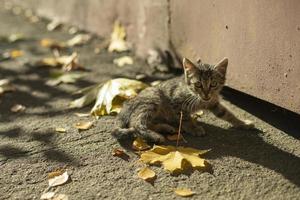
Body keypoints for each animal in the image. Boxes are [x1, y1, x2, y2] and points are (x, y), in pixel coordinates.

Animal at [113, 57, 254, 143]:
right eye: (198, 84)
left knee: (147, 122)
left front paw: (242, 123)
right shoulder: (177, 103)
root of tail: (128, 103)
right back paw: (155, 136)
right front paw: (194, 128)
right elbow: (185, 118)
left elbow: (227, 113)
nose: (206, 94)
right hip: (152, 100)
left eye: (213, 84)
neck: (196, 97)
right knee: (135, 123)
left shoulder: (213, 102)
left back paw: (165, 127)